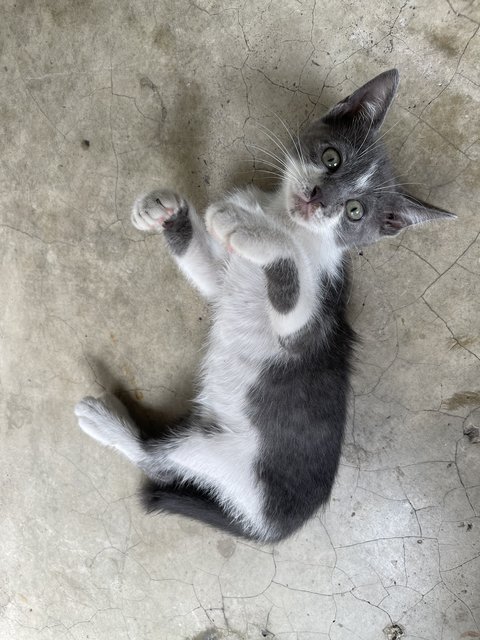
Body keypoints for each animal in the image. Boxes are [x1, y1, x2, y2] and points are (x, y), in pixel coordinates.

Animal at [74, 69, 454, 540]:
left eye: (354, 211)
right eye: (331, 158)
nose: (318, 199)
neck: (284, 219)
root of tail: (272, 527)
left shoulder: (313, 320)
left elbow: (288, 266)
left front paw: (247, 229)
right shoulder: (225, 280)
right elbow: (211, 277)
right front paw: (166, 210)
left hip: (225, 456)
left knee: (158, 461)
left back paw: (104, 419)